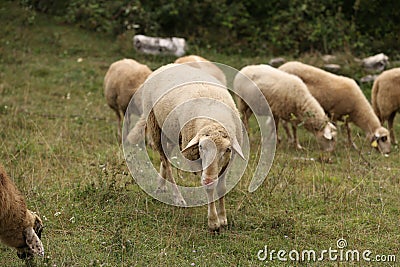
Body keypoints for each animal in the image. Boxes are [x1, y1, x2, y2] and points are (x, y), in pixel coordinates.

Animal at [130, 63, 245, 232]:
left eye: (227, 150)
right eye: (201, 147)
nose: (209, 178)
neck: (214, 118)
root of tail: (166, 65)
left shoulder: (228, 161)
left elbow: (221, 188)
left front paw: (223, 218)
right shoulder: (193, 157)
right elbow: (210, 188)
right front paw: (213, 222)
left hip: (171, 132)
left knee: (166, 159)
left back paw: (161, 185)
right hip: (155, 126)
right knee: (166, 162)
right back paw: (178, 198)